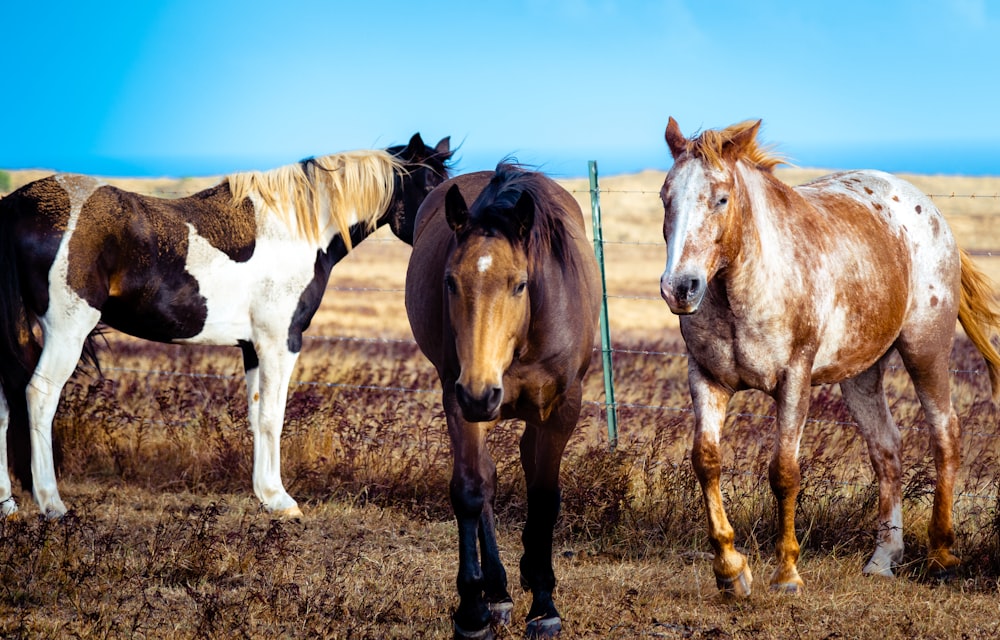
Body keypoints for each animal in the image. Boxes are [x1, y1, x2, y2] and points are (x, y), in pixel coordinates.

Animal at [0, 134, 454, 520]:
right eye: (431, 183)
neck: (296, 228)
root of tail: (15, 206)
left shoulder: (252, 346)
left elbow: (256, 415)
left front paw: (266, 495)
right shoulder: (280, 342)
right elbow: (273, 416)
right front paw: (282, 502)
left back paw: (8, 505)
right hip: (67, 330)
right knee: (39, 396)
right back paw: (52, 504)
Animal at [406, 162, 600, 636]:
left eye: (520, 284)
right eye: (450, 282)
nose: (480, 392)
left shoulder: (562, 408)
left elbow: (544, 495)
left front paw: (545, 606)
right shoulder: (459, 401)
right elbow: (471, 491)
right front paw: (472, 610)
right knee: (488, 482)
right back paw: (496, 591)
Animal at [656, 117, 1000, 596]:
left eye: (721, 198)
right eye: (665, 197)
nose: (680, 288)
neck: (742, 287)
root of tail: (927, 210)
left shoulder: (794, 380)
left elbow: (784, 473)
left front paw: (786, 574)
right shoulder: (707, 378)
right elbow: (706, 462)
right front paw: (730, 570)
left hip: (925, 350)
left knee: (945, 434)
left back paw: (942, 554)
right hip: (860, 375)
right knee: (886, 448)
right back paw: (883, 558)